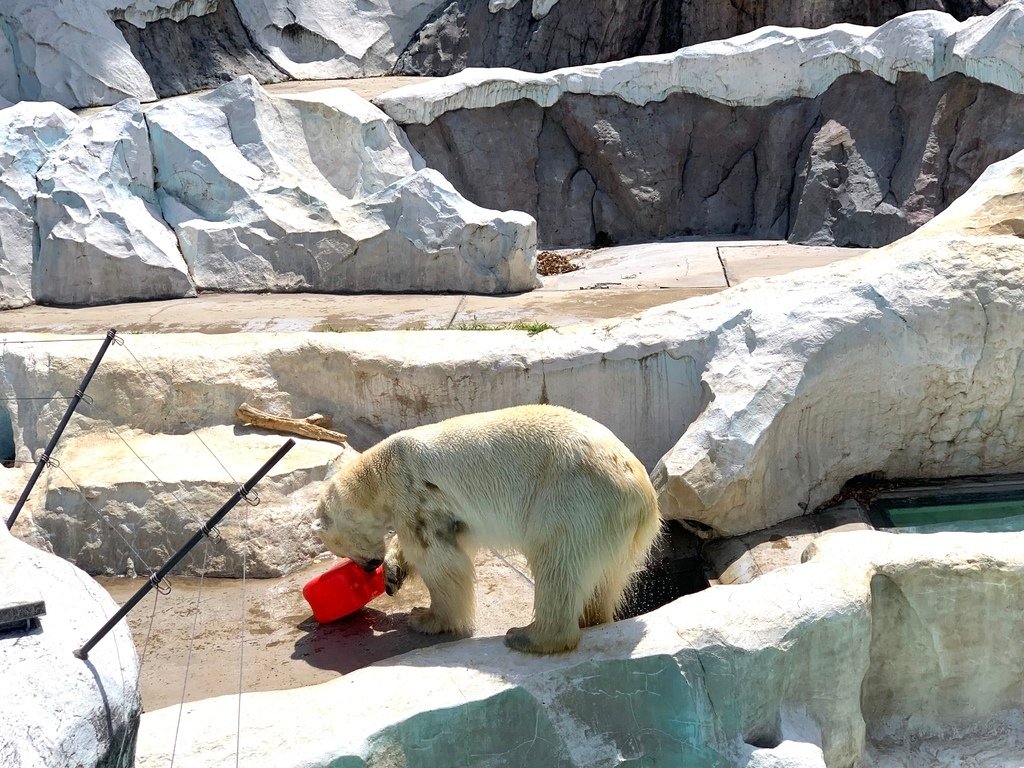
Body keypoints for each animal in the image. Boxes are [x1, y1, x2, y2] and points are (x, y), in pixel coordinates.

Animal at [315, 405, 659, 651]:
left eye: (339, 547)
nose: (368, 566)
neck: (380, 470)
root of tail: (643, 494)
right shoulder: (450, 512)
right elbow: (454, 538)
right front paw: (393, 574)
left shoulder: (413, 492)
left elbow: (438, 558)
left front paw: (425, 618)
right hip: (619, 532)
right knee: (604, 579)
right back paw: (592, 619)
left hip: (574, 498)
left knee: (558, 560)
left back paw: (528, 636)